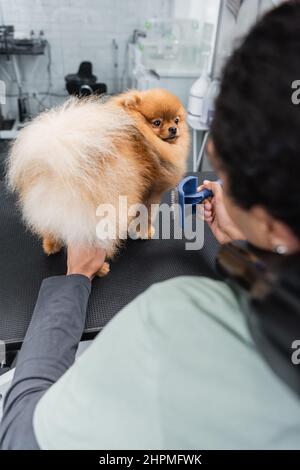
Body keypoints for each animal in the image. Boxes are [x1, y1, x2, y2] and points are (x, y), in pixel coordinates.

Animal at [6, 88, 190, 276]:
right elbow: (147, 215)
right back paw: (100, 269)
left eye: (176, 119)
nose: (173, 128)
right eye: (157, 123)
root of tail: (57, 168)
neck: (141, 134)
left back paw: (51, 246)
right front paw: (145, 232)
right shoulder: (151, 193)